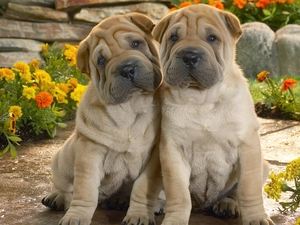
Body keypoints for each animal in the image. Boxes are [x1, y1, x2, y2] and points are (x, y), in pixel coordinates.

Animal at [41, 12, 163, 225]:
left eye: (136, 44)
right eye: (100, 61)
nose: (127, 69)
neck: (130, 108)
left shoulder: (154, 157)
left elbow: (142, 189)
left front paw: (139, 214)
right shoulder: (90, 152)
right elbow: (85, 191)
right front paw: (76, 216)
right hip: (61, 158)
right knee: (64, 184)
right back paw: (57, 197)